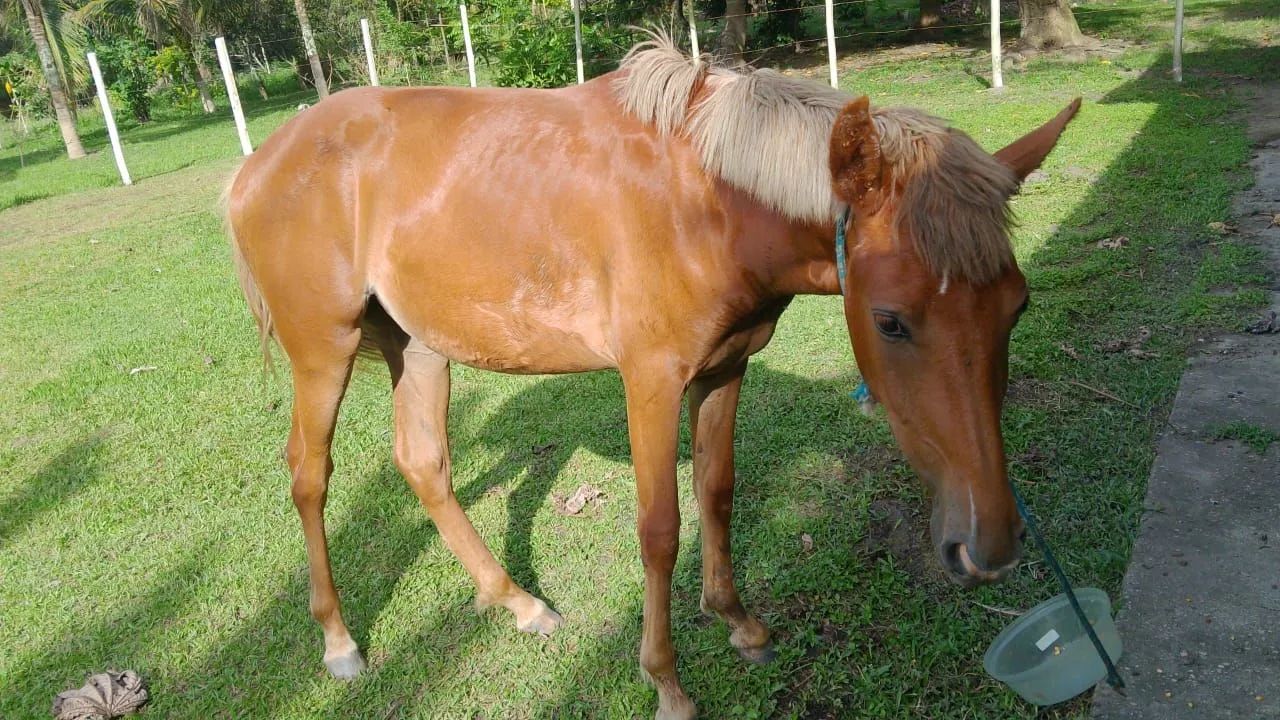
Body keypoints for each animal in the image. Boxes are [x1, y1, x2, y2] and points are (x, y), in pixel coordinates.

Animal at [224, 33, 1079, 719]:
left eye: (1018, 307)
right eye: (891, 320)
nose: (990, 546)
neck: (708, 203)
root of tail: (257, 164)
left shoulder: (725, 369)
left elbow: (717, 493)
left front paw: (738, 622)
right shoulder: (651, 381)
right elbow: (660, 529)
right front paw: (666, 683)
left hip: (420, 347)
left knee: (424, 464)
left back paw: (515, 601)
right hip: (324, 351)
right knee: (309, 475)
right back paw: (339, 640)